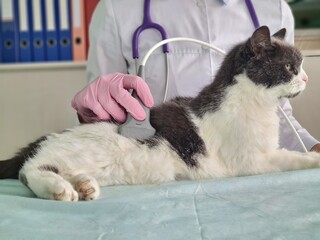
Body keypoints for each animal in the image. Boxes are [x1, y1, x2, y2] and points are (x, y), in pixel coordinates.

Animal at [1, 25, 318, 202]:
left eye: (301, 66)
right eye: (290, 67)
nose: (306, 79)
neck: (256, 104)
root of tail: (49, 138)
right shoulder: (251, 161)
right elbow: (289, 158)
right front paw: (313, 159)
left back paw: (84, 185)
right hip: (82, 151)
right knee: (30, 169)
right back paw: (59, 188)